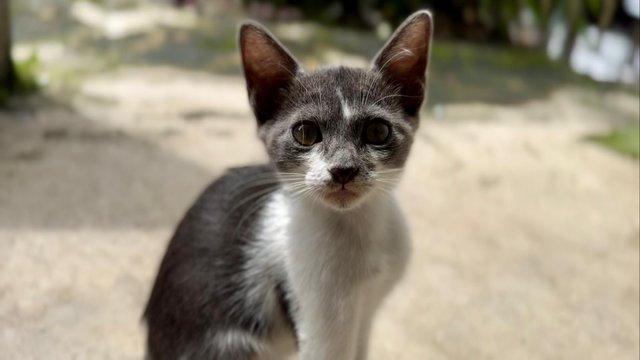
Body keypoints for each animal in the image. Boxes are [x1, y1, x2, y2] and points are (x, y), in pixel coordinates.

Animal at [144, 10, 432, 360]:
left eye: (377, 131)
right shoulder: (317, 315)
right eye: (305, 133)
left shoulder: (367, 309)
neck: (355, 229)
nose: (343, 169)